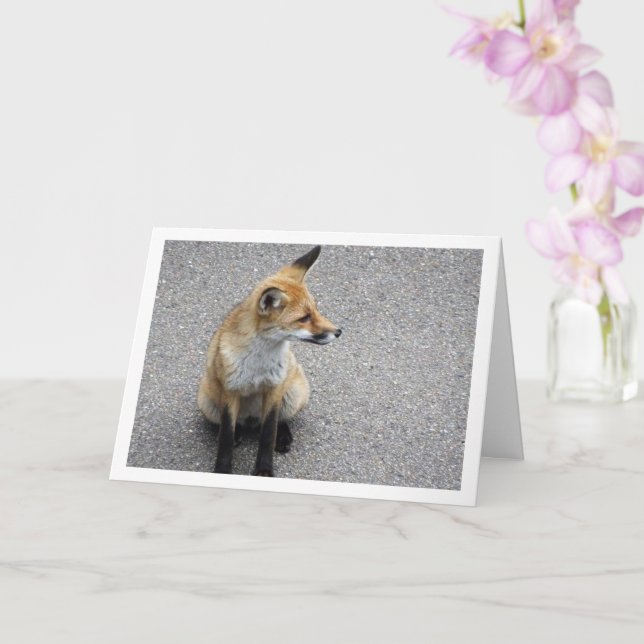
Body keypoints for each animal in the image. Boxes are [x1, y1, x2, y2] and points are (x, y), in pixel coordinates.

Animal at [198, 245, 342, 477]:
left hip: (293, 393)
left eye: (316, 310)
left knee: (279, 421)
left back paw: (283, 437)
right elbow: (225, 436)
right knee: (230, 427)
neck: (258, 364)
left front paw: (264, 471)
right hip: (207, 401)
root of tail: (251, 420)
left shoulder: (274, 388)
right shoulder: (230, 390)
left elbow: (268, 433)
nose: (338, 332)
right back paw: (239, 434)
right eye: (304, 318)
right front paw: (222, 470)